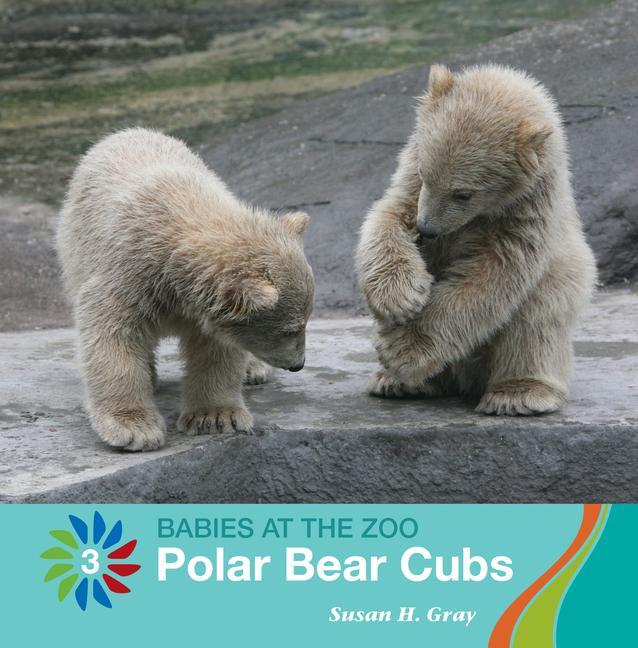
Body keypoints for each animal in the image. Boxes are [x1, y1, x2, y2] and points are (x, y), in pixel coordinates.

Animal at [57, 128, 314, 451]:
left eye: (306, 321)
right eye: (290, 329)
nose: (298, 364)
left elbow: (216, 349)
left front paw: (216, 416)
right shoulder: (128, 274)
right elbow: (112, 335)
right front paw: (134, 428)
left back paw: (253, 370)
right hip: (74, 249)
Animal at [356, 64, 596, 415]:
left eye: (463, 193)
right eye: (426, 173)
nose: (426, 229)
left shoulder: (525, 212)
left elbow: (491, 275)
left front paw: (401, 348)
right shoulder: (412, 184)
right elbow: (388, 216)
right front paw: (400, 297)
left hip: (562, 278)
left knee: (536, 318)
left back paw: (517, 393)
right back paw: (397, 383)